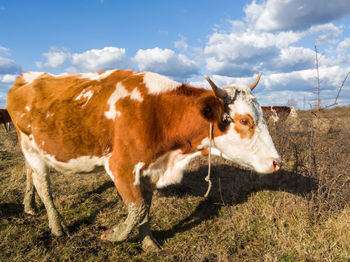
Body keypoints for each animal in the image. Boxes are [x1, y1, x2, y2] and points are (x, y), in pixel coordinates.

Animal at [6, 69, 280, 252]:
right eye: (245, 120)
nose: (277, 162)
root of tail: (26, 76)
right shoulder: (121, 167)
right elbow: (136, 208)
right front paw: (112, 235)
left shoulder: (149, 170)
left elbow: (144, 209)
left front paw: (148, 242)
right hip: (31, 148)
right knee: (43, 184)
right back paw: (56, 226)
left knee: (30, 175)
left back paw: (30, 205)